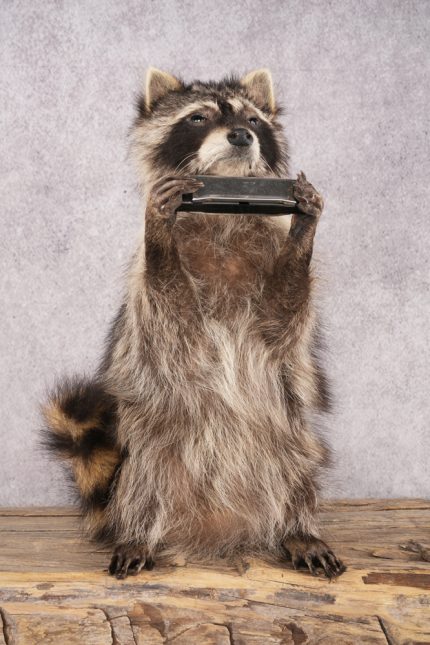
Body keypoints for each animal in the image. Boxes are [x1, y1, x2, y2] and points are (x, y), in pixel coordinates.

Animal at [42, 67, 346, 579]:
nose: (241, 134)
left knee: (297, 466)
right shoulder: (152, 305)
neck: (225, 209)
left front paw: (305, 226)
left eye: (253, 119)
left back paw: (298, 528)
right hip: (149, 447)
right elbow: (171, 307)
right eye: (198, 117)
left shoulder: (271, 282)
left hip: (287, 437)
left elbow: (282, 316)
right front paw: (158, 224)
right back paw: (139, 533)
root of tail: (215, 528)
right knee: (145, 479)